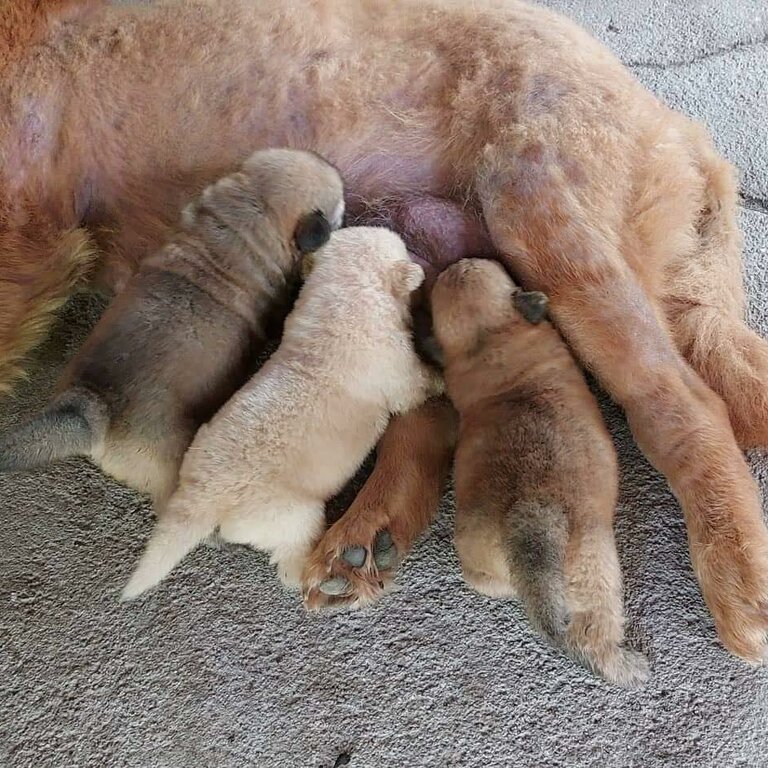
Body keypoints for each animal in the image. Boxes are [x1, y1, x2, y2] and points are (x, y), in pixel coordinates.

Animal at [123, 228, 440, 600]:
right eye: (401, 245)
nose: (419, 256)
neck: (343, 295)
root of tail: (202, 498)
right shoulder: (390, 364)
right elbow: (414, 386)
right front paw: (440, 377)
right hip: (288, 513)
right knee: (291, 551)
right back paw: (321, 570)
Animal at [428, 260, 652, 688]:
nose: (458, 261)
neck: (489, 341)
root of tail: (528, 518)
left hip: (480, 562)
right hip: (592, 562)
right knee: (593, 627)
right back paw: (624, 665)